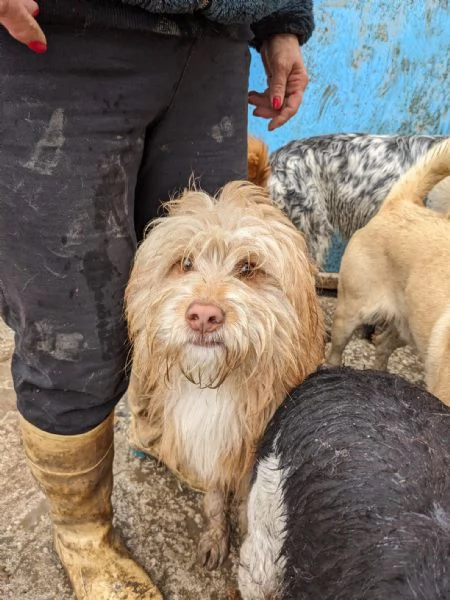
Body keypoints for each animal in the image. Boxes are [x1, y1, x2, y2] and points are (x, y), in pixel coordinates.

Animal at [125, 180, 326, 568]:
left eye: (248, 268)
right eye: (185, 263)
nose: (203, 315)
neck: (217, 382)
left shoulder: (253, 451)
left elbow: (249, 504)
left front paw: (246, 539)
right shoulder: (212, 447)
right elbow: (216, 498)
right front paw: (216, 536)